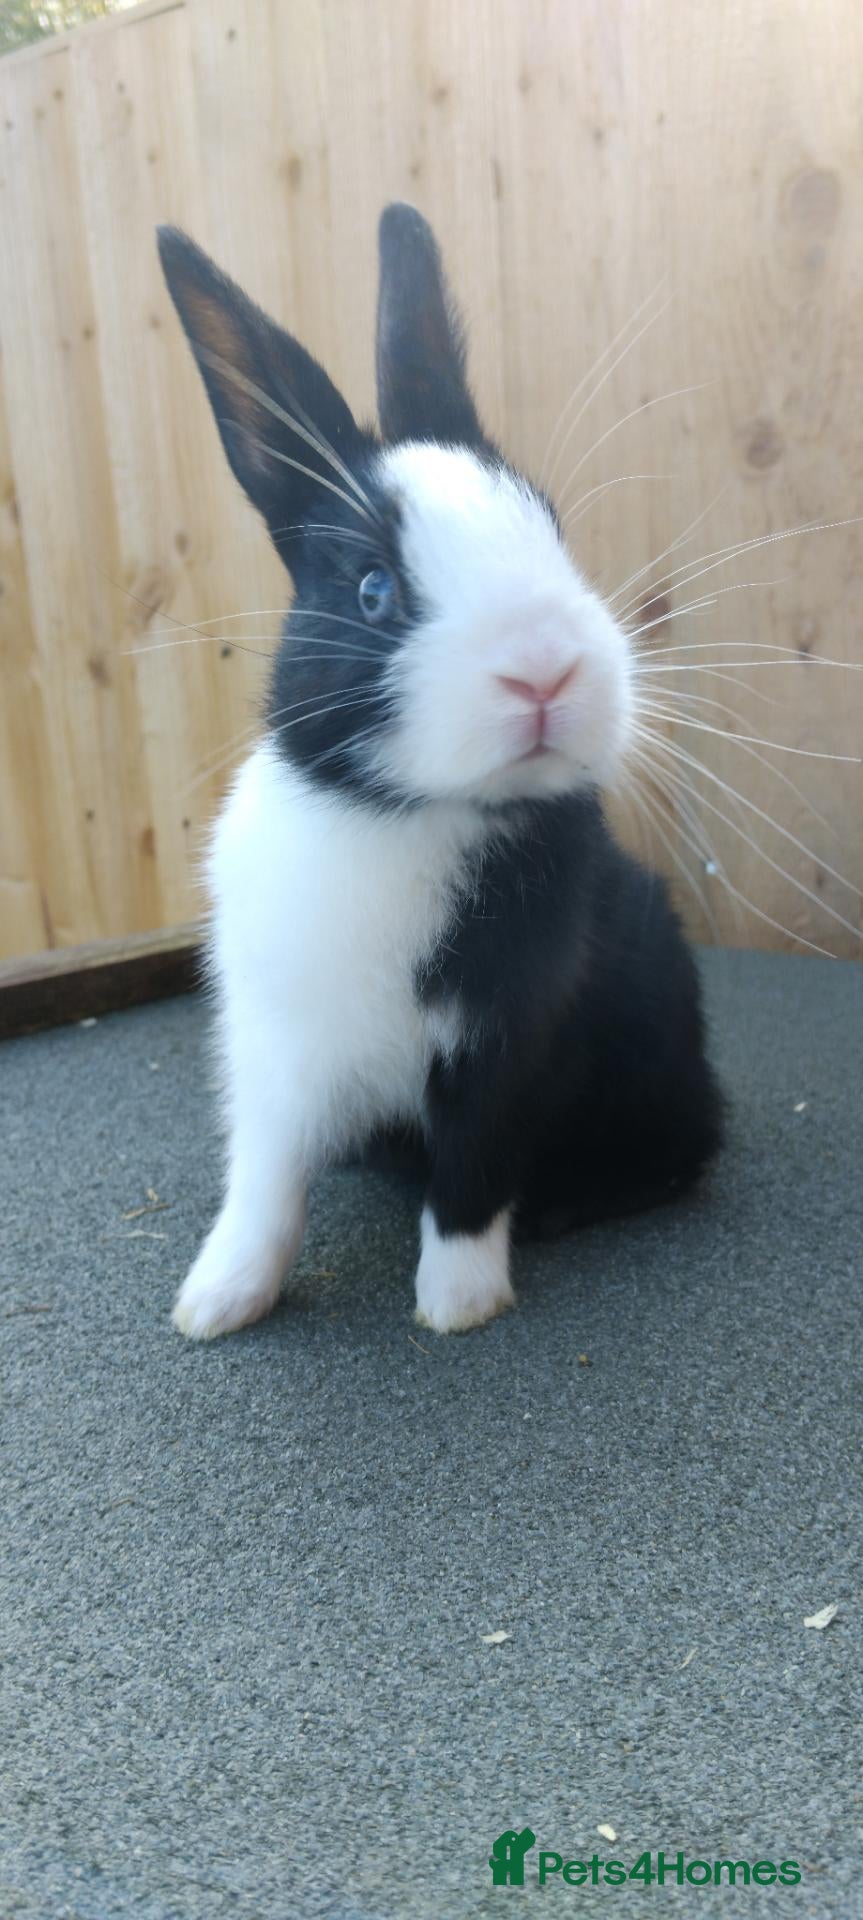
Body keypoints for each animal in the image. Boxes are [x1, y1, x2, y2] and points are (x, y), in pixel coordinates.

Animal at [157, 202, 723, 1340]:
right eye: (374, 590)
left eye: (553, 532)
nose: (544, 667)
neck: (404, 812)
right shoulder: (273, 1046)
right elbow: (262, 1184)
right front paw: (216, 1303)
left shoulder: (506, 1037)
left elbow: (470, 1167)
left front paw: (457, 1305)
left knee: (683, 1154)